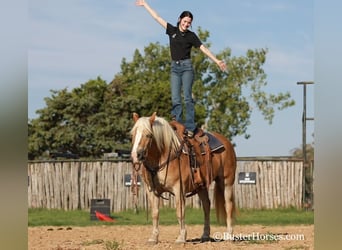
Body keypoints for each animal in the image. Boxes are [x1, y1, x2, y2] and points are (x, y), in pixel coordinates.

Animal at [130, 112, 236, 243]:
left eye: (149, 135)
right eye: (132, 134)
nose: (136, 155)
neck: (164, 155)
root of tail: (226, 142)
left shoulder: (179, 189)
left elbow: (180, 212)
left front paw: (181, 237)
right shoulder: (151, 191)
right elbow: (155, 213)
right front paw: (153, 238)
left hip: (226, 182)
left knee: (228, 206)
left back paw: (229, 235)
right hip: (201, 186)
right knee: (206, 205)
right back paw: (205, 235)